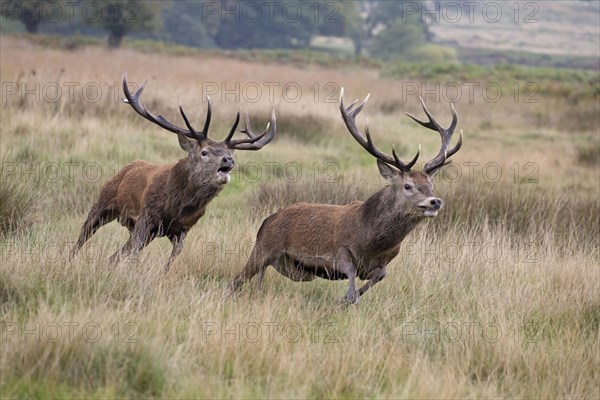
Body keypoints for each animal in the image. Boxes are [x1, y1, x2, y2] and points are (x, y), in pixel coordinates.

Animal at [70, 74, 276, 272]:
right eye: (204, 152)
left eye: (230, 153)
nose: (228, 160)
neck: (177, 206)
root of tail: (126, 167)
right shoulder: (146, 216)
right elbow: (135, 253)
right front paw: (131, 273)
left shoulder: (183, 229)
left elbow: (173, 257)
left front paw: (162, 273)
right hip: (103, 202)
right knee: (83, 236)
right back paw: (70, 259)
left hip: (144, 231)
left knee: (115, 255)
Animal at [227, 90, 462, 304]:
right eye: (408, 185)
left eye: (431, 185)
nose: (435, 201)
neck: (372, 241)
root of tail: (268, 219)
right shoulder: (339, 250)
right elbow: (350, 274)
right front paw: (347, 298)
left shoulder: (382, 263)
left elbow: (379, 276)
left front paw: (347, 299)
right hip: (262, 248)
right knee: (234, 282)